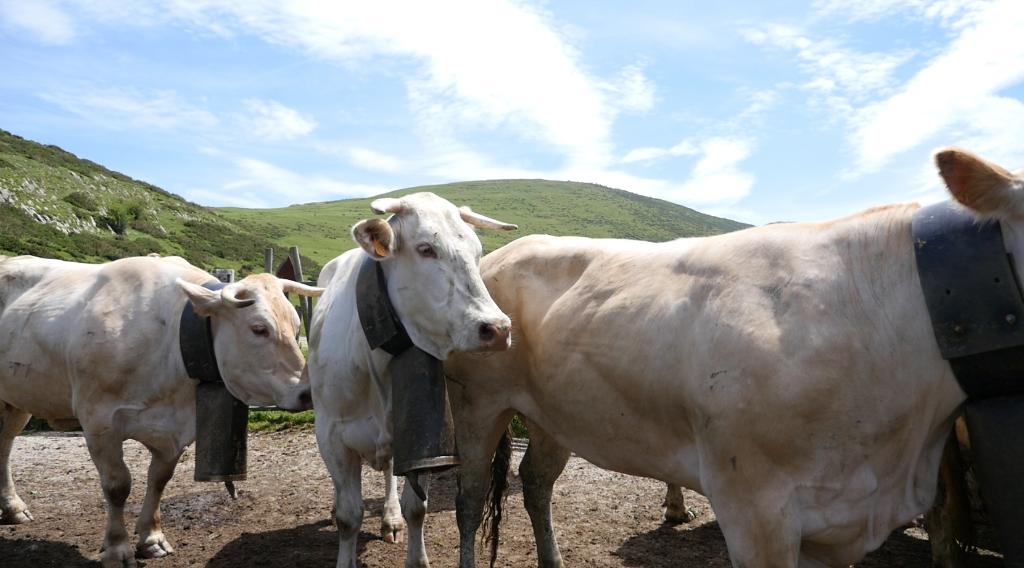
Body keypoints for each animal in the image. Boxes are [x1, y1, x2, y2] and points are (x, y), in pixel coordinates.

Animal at [0, 254, 323, 568]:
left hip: (15, 402)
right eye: (259, 329)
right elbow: (117, 485)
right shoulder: (99, 421)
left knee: (5, 446)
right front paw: (117, 548)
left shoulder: (175, 429)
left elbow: (158, 480)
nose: (307, 393)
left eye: (296, 327)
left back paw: (13, 508)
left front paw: (151, 539)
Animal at [305, 192, 516, 568]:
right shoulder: (331, 437)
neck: (375, 361)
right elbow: (348, 516)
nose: (497, 329)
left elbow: (417, 507)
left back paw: (390, 518)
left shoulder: (425, 439)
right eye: (425, 249)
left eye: (478, 252)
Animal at [444, 150, 1011, 568]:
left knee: (536, 482)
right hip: (476, 402)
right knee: (470, 497)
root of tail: (502, 254)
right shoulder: (754, 506)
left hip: (554, 414)